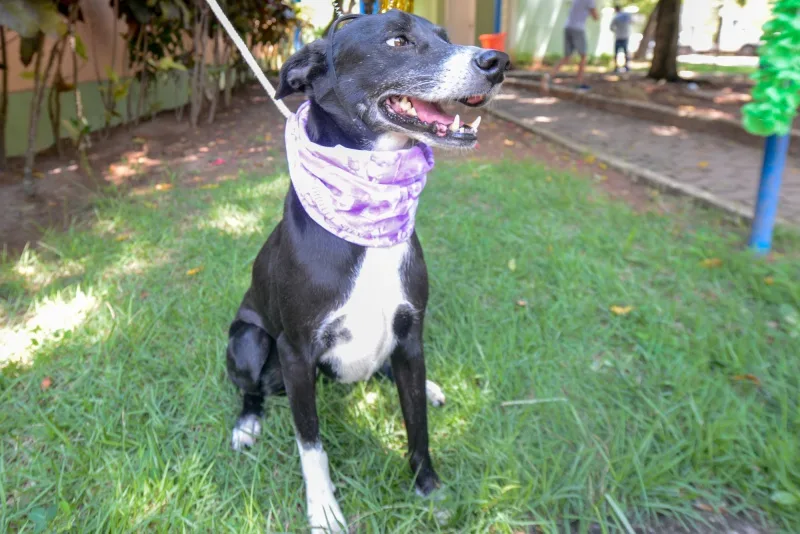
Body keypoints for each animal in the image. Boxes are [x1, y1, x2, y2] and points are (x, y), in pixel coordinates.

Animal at [227, 9, 506, 534]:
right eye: (397, 40)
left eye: (444, 37)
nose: (497, 61)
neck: (369, 205)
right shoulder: (295, 352)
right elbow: (311, 445)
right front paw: (323, 510)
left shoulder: (410, 333)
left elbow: (417, 426)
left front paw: (428, 489)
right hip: (248, 339)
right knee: (252, 389)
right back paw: (247, 424)